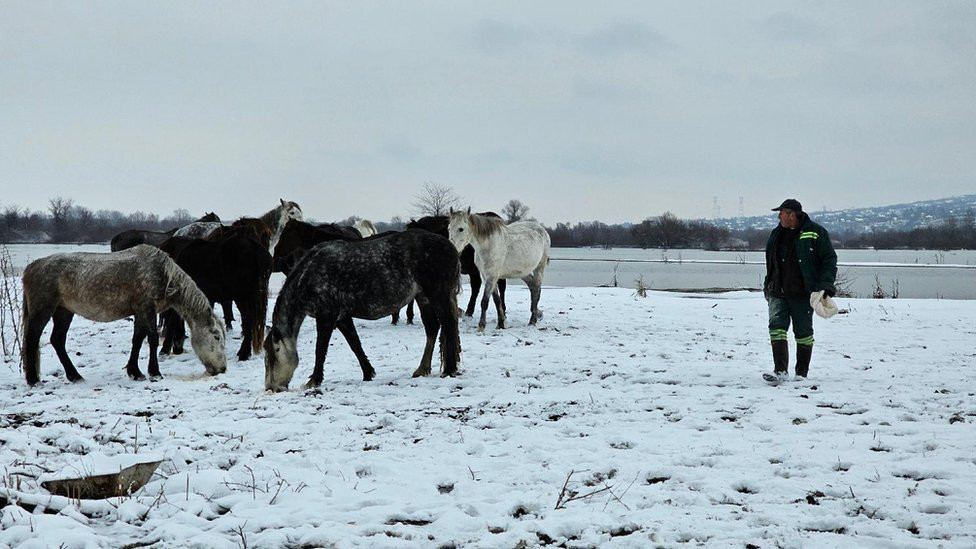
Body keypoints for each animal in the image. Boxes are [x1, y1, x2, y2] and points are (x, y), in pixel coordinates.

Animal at [158, 231, 270, 360]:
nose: (177, 349)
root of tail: (254, 247)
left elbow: (172, 320)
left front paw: (164, 348)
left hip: (242, 298)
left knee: (248, 320)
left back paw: (244, 352)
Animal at [264, 229, 462, 392]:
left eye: (273, 354)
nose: (272, 387)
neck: (308, 275)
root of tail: (451, 247)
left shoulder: (326, 316)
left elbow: (320, 349)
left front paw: (314, 381)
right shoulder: (342, 318)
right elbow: (355, 344)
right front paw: (368, 373)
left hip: (437, 295)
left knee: (448, 325)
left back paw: (449, 369)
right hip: (423, 297)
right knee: (433, 328)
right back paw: (422, 369)